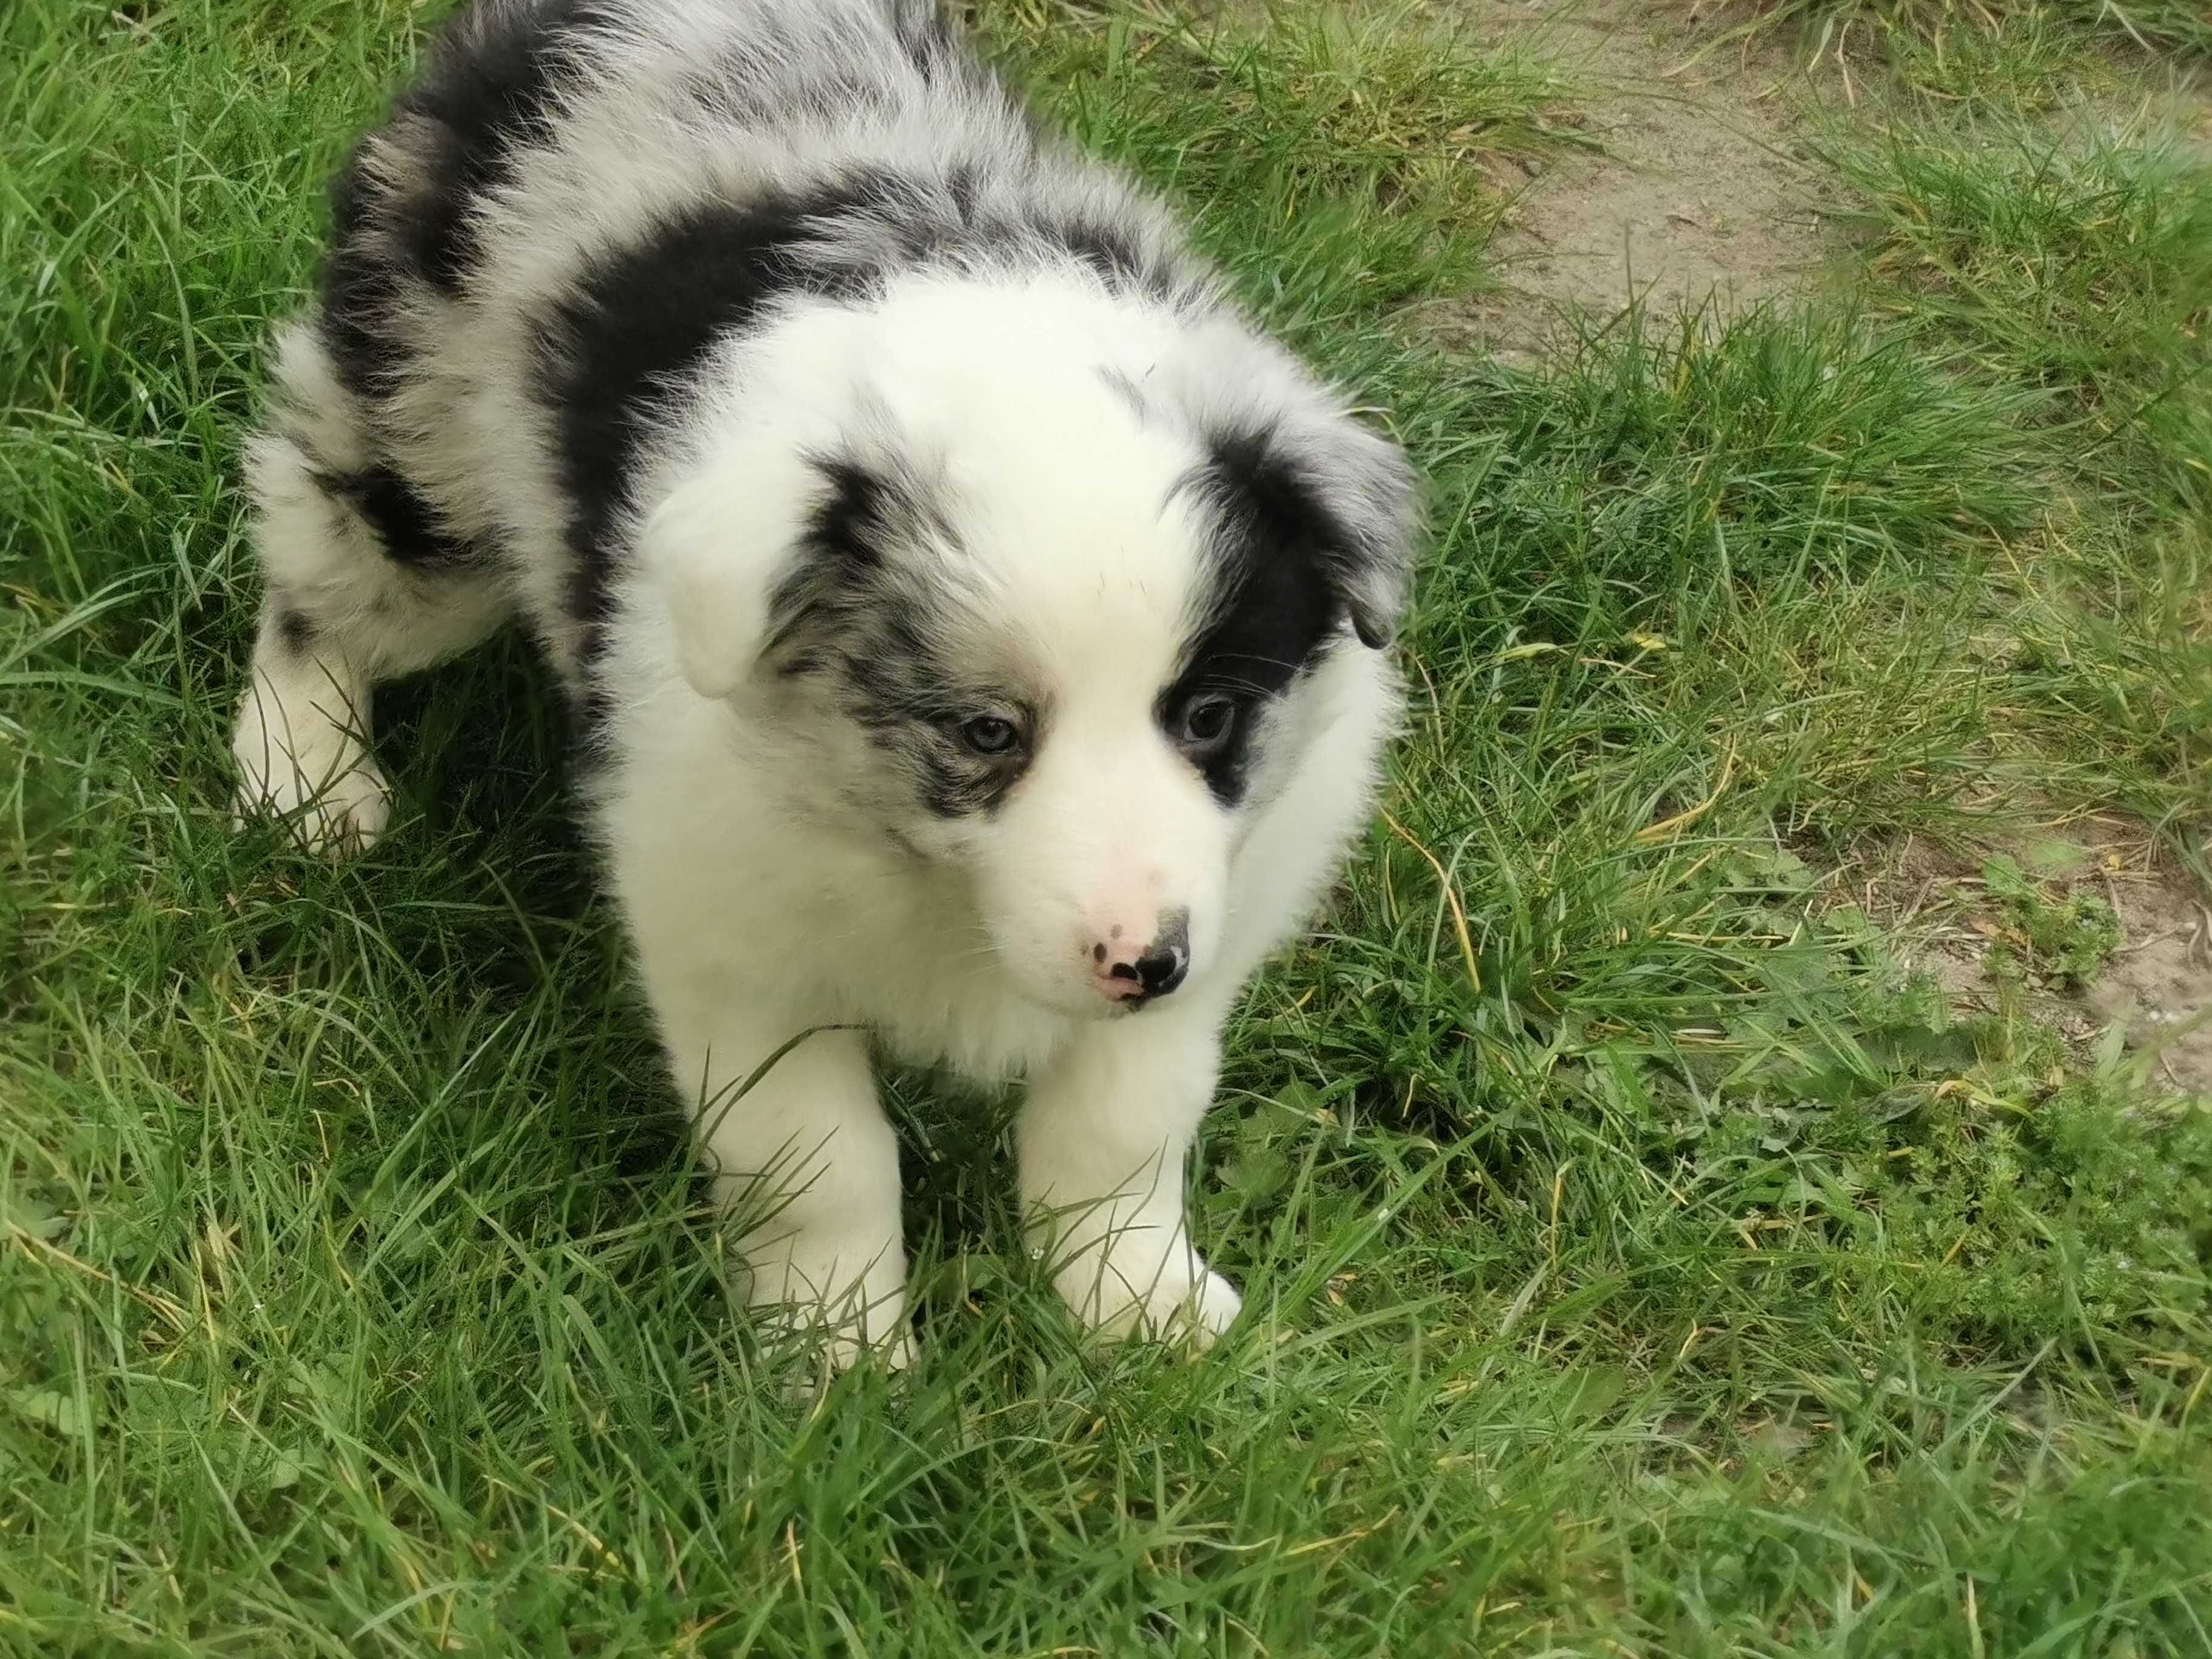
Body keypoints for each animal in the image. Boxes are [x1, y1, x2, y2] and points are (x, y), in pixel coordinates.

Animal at [233, 0, 1415, 1362]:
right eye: (985, 731)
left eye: (1210, 716)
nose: (1139, 960)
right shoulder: (734, 937)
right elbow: (821, 1160)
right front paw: (839, 1357)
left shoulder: (1218, 918)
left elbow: (1123, 1126)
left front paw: (1140, 1312)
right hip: (423, 443)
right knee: (312, 566)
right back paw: (306, 778)